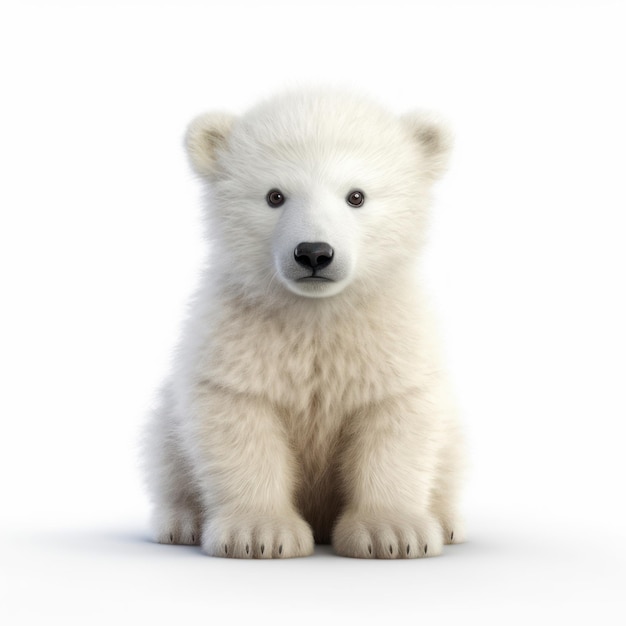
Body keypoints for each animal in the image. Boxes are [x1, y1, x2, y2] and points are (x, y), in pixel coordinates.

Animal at [143, 88, 464, 556]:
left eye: (356, 196)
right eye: (275, 196)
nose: (314, 252)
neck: (315, 313)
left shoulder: (388, 343)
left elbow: (394, 424)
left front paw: (392, 533)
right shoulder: (238, 344)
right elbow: (241, 426)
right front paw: (259, 534)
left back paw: (447, 521)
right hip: (169, 419)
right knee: (166, 452)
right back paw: (180, 522)